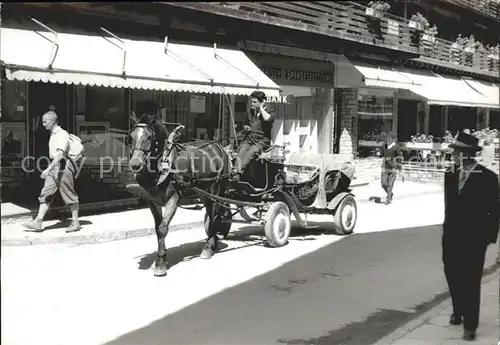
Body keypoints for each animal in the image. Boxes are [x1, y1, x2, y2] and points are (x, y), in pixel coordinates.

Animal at [128, 114, 231, 276]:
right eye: (131, 136)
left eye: (149, 137)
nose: (135, 165)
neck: (163, 164)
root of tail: (219, 146)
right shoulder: (152, 201)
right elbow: (157, 228)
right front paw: (160, 257)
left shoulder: (174, 198)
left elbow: (163, 229)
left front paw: (160, 263)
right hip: (203, 193)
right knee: (211, 214)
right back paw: (212, 242)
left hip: (216, 188)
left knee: (215, 215)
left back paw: (208, 248)